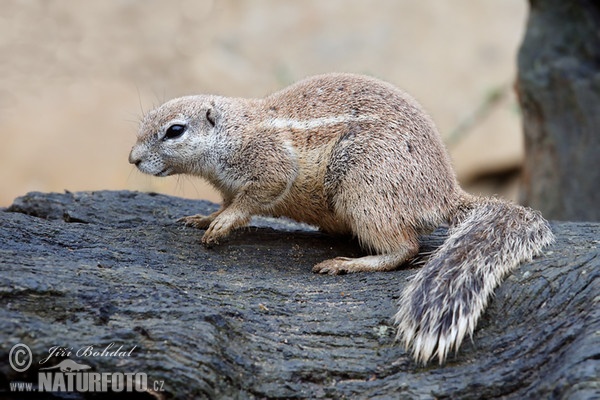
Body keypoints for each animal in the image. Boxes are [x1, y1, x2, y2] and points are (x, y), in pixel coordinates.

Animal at [129, 72, 556, 366]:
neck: (234, 132)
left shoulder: (271, 166)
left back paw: (347, 263)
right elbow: (225, 203)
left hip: (365, 190)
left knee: (405, 248)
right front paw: (204, 218)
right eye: (145, 123)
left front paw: (223, 224)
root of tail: (445, 194)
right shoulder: (228, 186)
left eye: (175, 130)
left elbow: (254, 198)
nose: (132, 159)